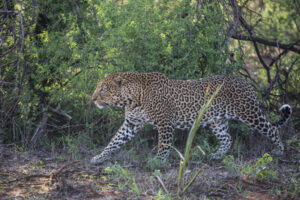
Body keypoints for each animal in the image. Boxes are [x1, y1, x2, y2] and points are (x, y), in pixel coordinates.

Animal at [90, 72, 292, 164]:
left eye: (103, 89)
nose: (92, 99)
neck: (132, 99)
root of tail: (245, 81)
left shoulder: (165, 123)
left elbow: (164, 145)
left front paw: (158, 162)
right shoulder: (131, 123)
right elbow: (115, 141)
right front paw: (100, 157)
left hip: (249, 113)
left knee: (271, 129)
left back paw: (279, 150)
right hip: (217, 121)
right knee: (227, 138)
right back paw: (218, 155)